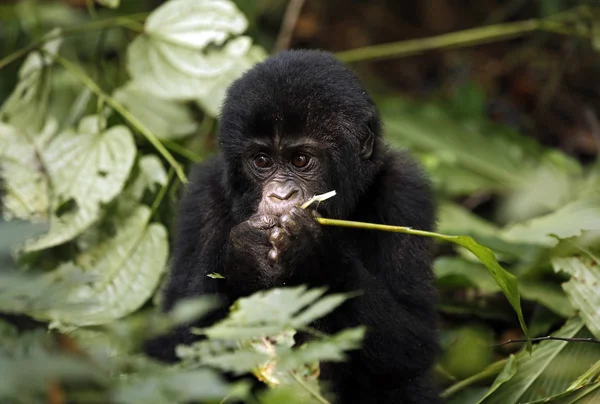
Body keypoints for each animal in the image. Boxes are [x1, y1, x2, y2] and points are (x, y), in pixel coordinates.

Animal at [148, 49, 442, 402]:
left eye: (300, 160)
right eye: (262, 161)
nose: (280, 194)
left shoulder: (406, 193)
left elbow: (414, 341)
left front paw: (316, 254)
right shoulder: (202, 194)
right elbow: (175, 346)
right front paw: (246, 255)